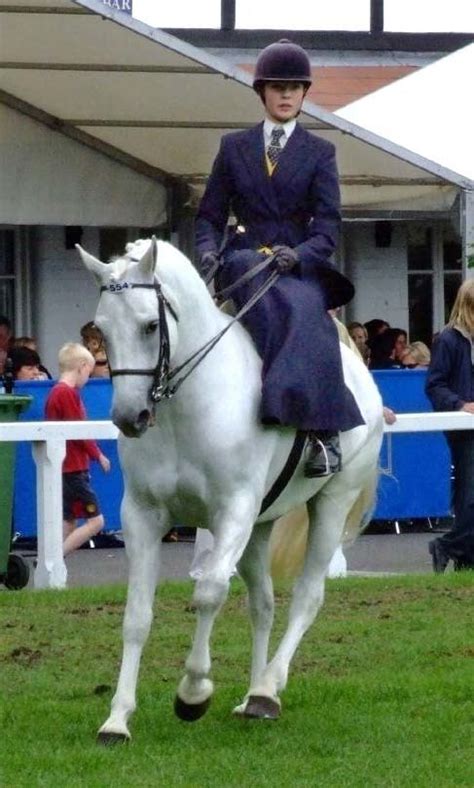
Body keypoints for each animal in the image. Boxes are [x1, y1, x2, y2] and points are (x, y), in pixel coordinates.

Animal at [76, 237, 384, 740]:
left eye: (149, 325)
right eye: (100, 329)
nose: (129, 418)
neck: (185, 407)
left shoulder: (232, 512)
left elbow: (209, 593)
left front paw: (193, 693)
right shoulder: (142, 516)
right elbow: (137, 616)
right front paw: (117, 719)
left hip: (330, 504)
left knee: (307, 596)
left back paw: (267, 689)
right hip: (260, 525)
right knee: (264, 604)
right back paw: (254, 696)